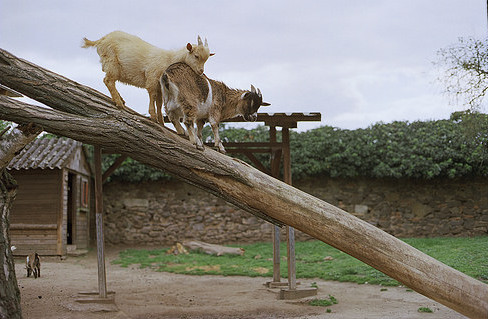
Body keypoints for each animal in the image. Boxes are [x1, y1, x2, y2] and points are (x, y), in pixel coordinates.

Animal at [82, 31, 214, 123]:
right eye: (196, 56)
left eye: (207, 59)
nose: (201, 71)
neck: (169, 59)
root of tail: (100, 40)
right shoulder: (152, 78)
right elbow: (152, 96)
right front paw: (153, 117)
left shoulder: (160, 86)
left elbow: (159, 102)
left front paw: (161, 121)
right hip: (112, 63)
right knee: (108, 80)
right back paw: (119, 103)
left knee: (110, 81)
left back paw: (120, 100)